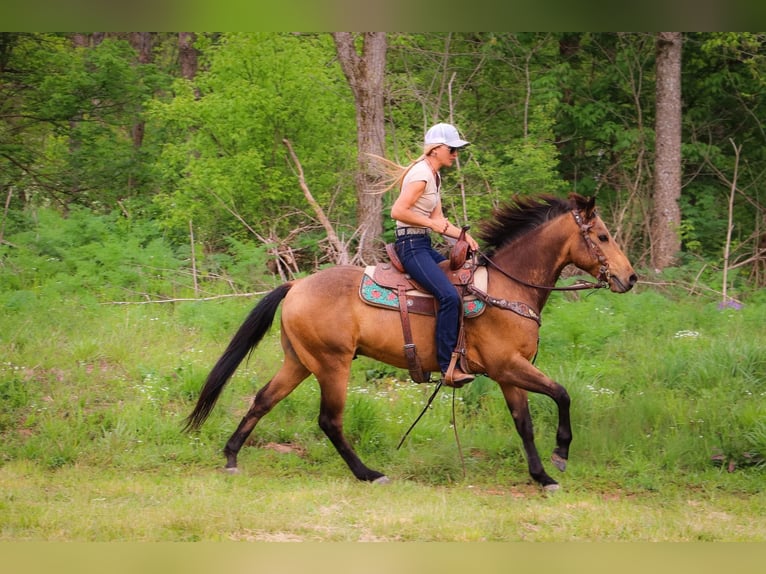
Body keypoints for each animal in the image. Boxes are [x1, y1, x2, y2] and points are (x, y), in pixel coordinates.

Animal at [184, 192, 636, 490]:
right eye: (602, 235)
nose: (629, 277)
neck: (508, 287)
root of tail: (296, 285)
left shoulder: (511, 374)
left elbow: (524, 423)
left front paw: (540, 475)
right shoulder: (509, 366)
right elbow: (562, 394)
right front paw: (560, 455)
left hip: (299, 361)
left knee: (263, 399)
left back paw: (231, 455)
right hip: (332, 364)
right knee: (330, 420)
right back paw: (369, 473)